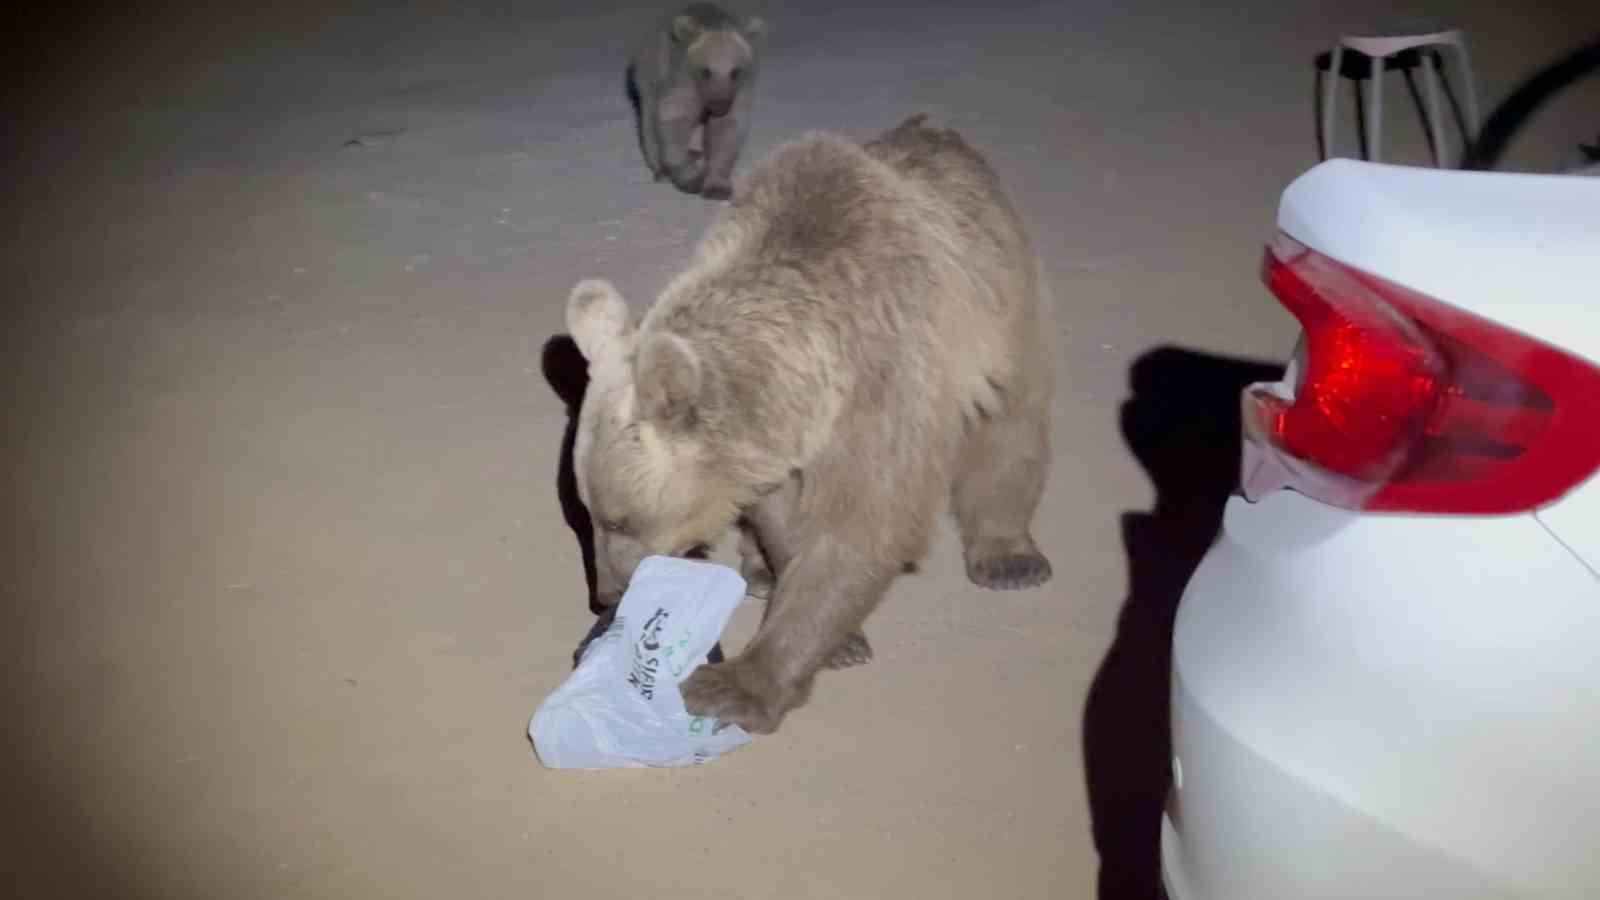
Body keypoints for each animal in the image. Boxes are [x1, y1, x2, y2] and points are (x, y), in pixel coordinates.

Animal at [563, 112, 1049, 733]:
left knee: (1012, 424)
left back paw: (1010, 556)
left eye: (619, 520)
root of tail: (939, 130)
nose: (607, 593)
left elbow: (863, 524)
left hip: (1002, 307)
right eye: (583, 510)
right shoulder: (776, 444)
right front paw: (835, 633)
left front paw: (736, 685)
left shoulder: (887, 381)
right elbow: (785, 519)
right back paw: (759, 570)